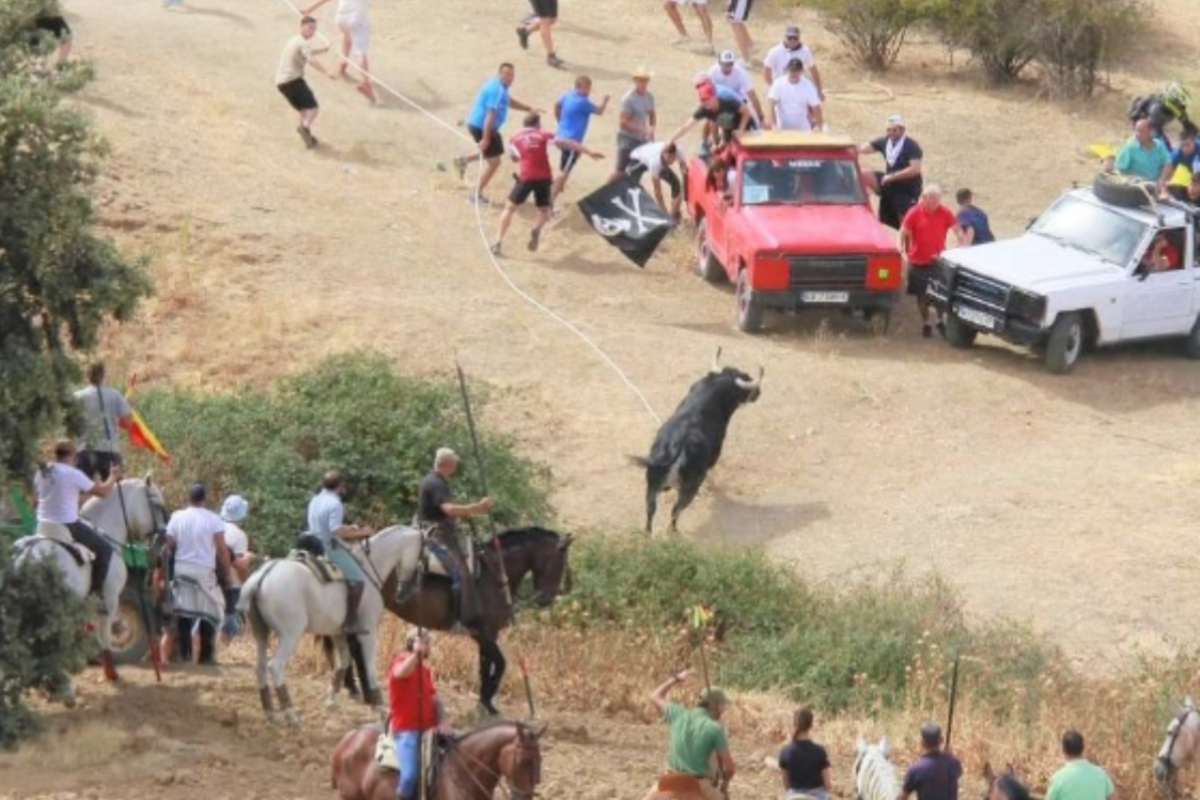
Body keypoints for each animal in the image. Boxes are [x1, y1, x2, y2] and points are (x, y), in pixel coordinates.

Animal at [11, 474, 168, 690]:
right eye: (157, 505)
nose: (163, 541)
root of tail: (24, 556)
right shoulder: (111, 599)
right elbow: (107, 635)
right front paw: (112, 674)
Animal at [237, 525, 422, 724]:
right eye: (421, 557)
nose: (405, 593)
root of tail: (264, 574)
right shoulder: (369, 633)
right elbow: (369, 666)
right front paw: (380, 706)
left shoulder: (337, 632)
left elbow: (343, 661)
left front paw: (332, 700)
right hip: (290, 635)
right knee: (275, 666)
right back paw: (291, 714)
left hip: (261, 633)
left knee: (261, 666)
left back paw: (270, 712)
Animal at [381, 527, 573, 714]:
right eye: (561, 562)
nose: (546, 599)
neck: (495, 575)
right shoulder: (486, 633)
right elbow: (500, 663)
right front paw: (487, 697)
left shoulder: (482, 636)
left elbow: (484, 666)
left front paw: (485, 702)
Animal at [633, 350, 763, 532]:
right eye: (745, 377)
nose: (759, 392)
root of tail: (677, 447)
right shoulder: (713, 457)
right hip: (689, 488)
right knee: (675, 511)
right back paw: (674, 532)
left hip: (651, 485)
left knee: (650, 510)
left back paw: (647, 534)